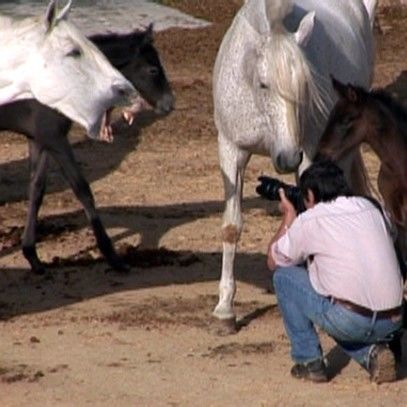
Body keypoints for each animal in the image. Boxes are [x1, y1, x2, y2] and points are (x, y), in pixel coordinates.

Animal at [0, 24, 174, 274]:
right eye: (153, 70)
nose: (169, 104)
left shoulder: (40, 139)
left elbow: (36, 190)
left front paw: (32, 256)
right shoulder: (56, 139)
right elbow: (82, 189)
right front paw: (113, 257)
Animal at [215, 0, 378, 332]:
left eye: (304, 86)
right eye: (264, 84)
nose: (288, 157)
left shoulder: (310, 160)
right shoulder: (230, 150)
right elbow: (231, 227)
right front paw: (225, 309)